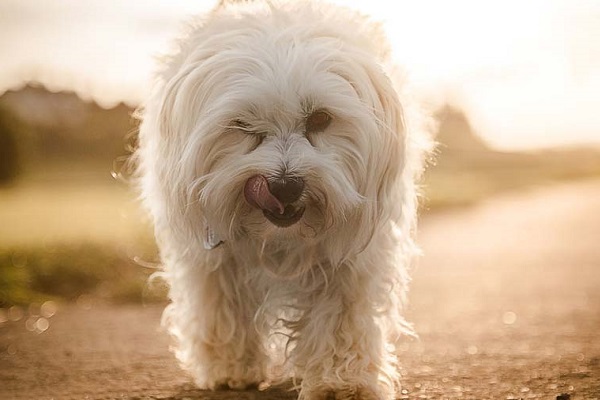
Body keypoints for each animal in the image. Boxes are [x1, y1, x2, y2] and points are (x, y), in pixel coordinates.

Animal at [136, 1, 428, 398]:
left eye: (320, 118)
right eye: (243, 125)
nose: (285, 185)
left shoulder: (354, 255)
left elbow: (342, 314)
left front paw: (342, 381)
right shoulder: (213, 258)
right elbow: (224, 308)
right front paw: (231, 368)